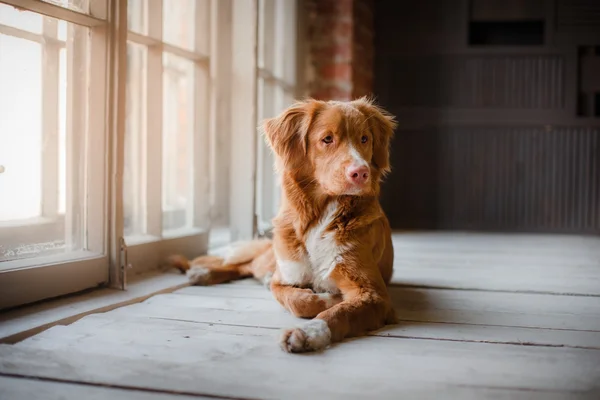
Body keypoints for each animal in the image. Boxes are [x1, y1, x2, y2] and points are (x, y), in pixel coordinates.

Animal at [169, 97, 396, 354]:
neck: (321, 215)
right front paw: (325, 300)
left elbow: (340, 311)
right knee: (246, 266)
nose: (361, 172)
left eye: (364, 139)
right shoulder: (283, 277)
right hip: (273, 258)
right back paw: (204, 273)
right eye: (327, 139)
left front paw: (309, 332)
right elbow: (299, 301)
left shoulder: (374, 295)